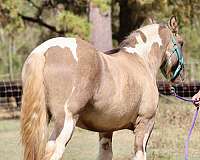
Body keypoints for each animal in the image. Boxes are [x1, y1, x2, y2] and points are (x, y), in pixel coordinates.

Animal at [20, 16, 184, 160]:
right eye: (181, 43)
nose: (180, 77)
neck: (140, 61)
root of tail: (44, 51)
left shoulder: (106, 130)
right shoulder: (145, 123)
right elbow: (140, 154)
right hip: (65, 122)